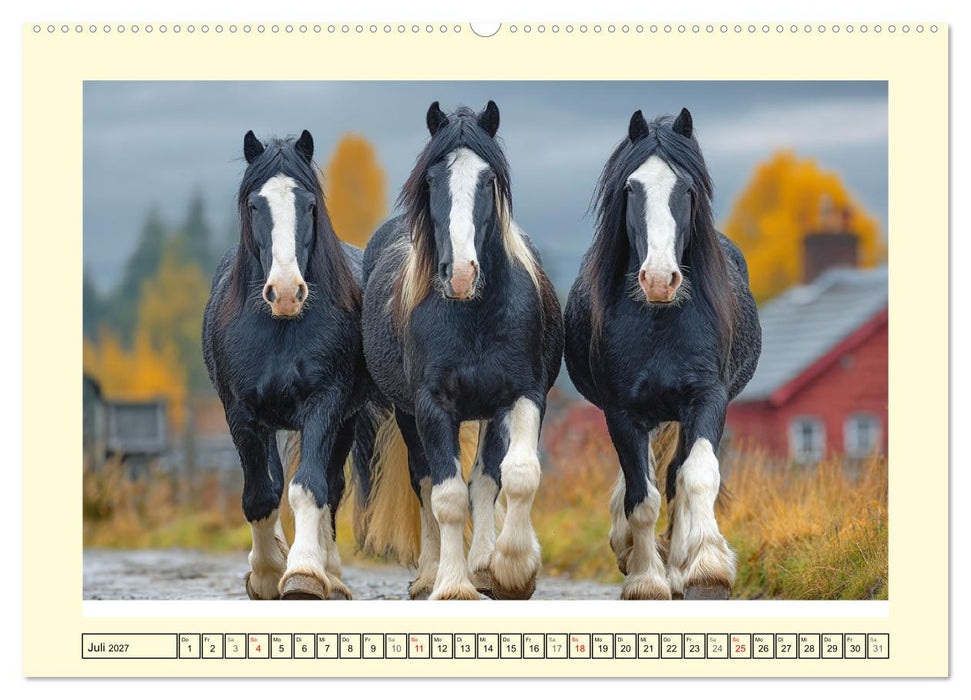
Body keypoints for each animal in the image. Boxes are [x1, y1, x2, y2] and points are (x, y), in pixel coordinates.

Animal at [202, 130, 369, 600]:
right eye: (254, 205)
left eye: (309, 205)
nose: (287, 292)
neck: (279, 328)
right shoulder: (241, 414)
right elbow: (260, 495)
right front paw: (265, 574)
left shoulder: (324, 405)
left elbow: (309, 487)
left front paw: (304, 574)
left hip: (346, 421)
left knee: (331, 485)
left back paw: (331, 574)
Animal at [358, 101, 564, 600]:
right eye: (432, 180)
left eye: (488, 180)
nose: (461, 274)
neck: (474, 316)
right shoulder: (433, 406)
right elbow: (446, 496)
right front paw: (452, 585)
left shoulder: (523, 395)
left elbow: (515, 475)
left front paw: (511, 568)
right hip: (407, 414)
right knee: (426, 483)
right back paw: (429, 574)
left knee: (485, 480)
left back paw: (485, 564)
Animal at [564, 108, 761, 600]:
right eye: (631, 188)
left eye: (687, 189)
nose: (658, 279)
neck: (660, 321)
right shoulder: (622, 411)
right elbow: (642, 497)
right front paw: (645, 578)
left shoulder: (707, 399)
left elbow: (696, 476)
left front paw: (706, 568)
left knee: (676, 475)